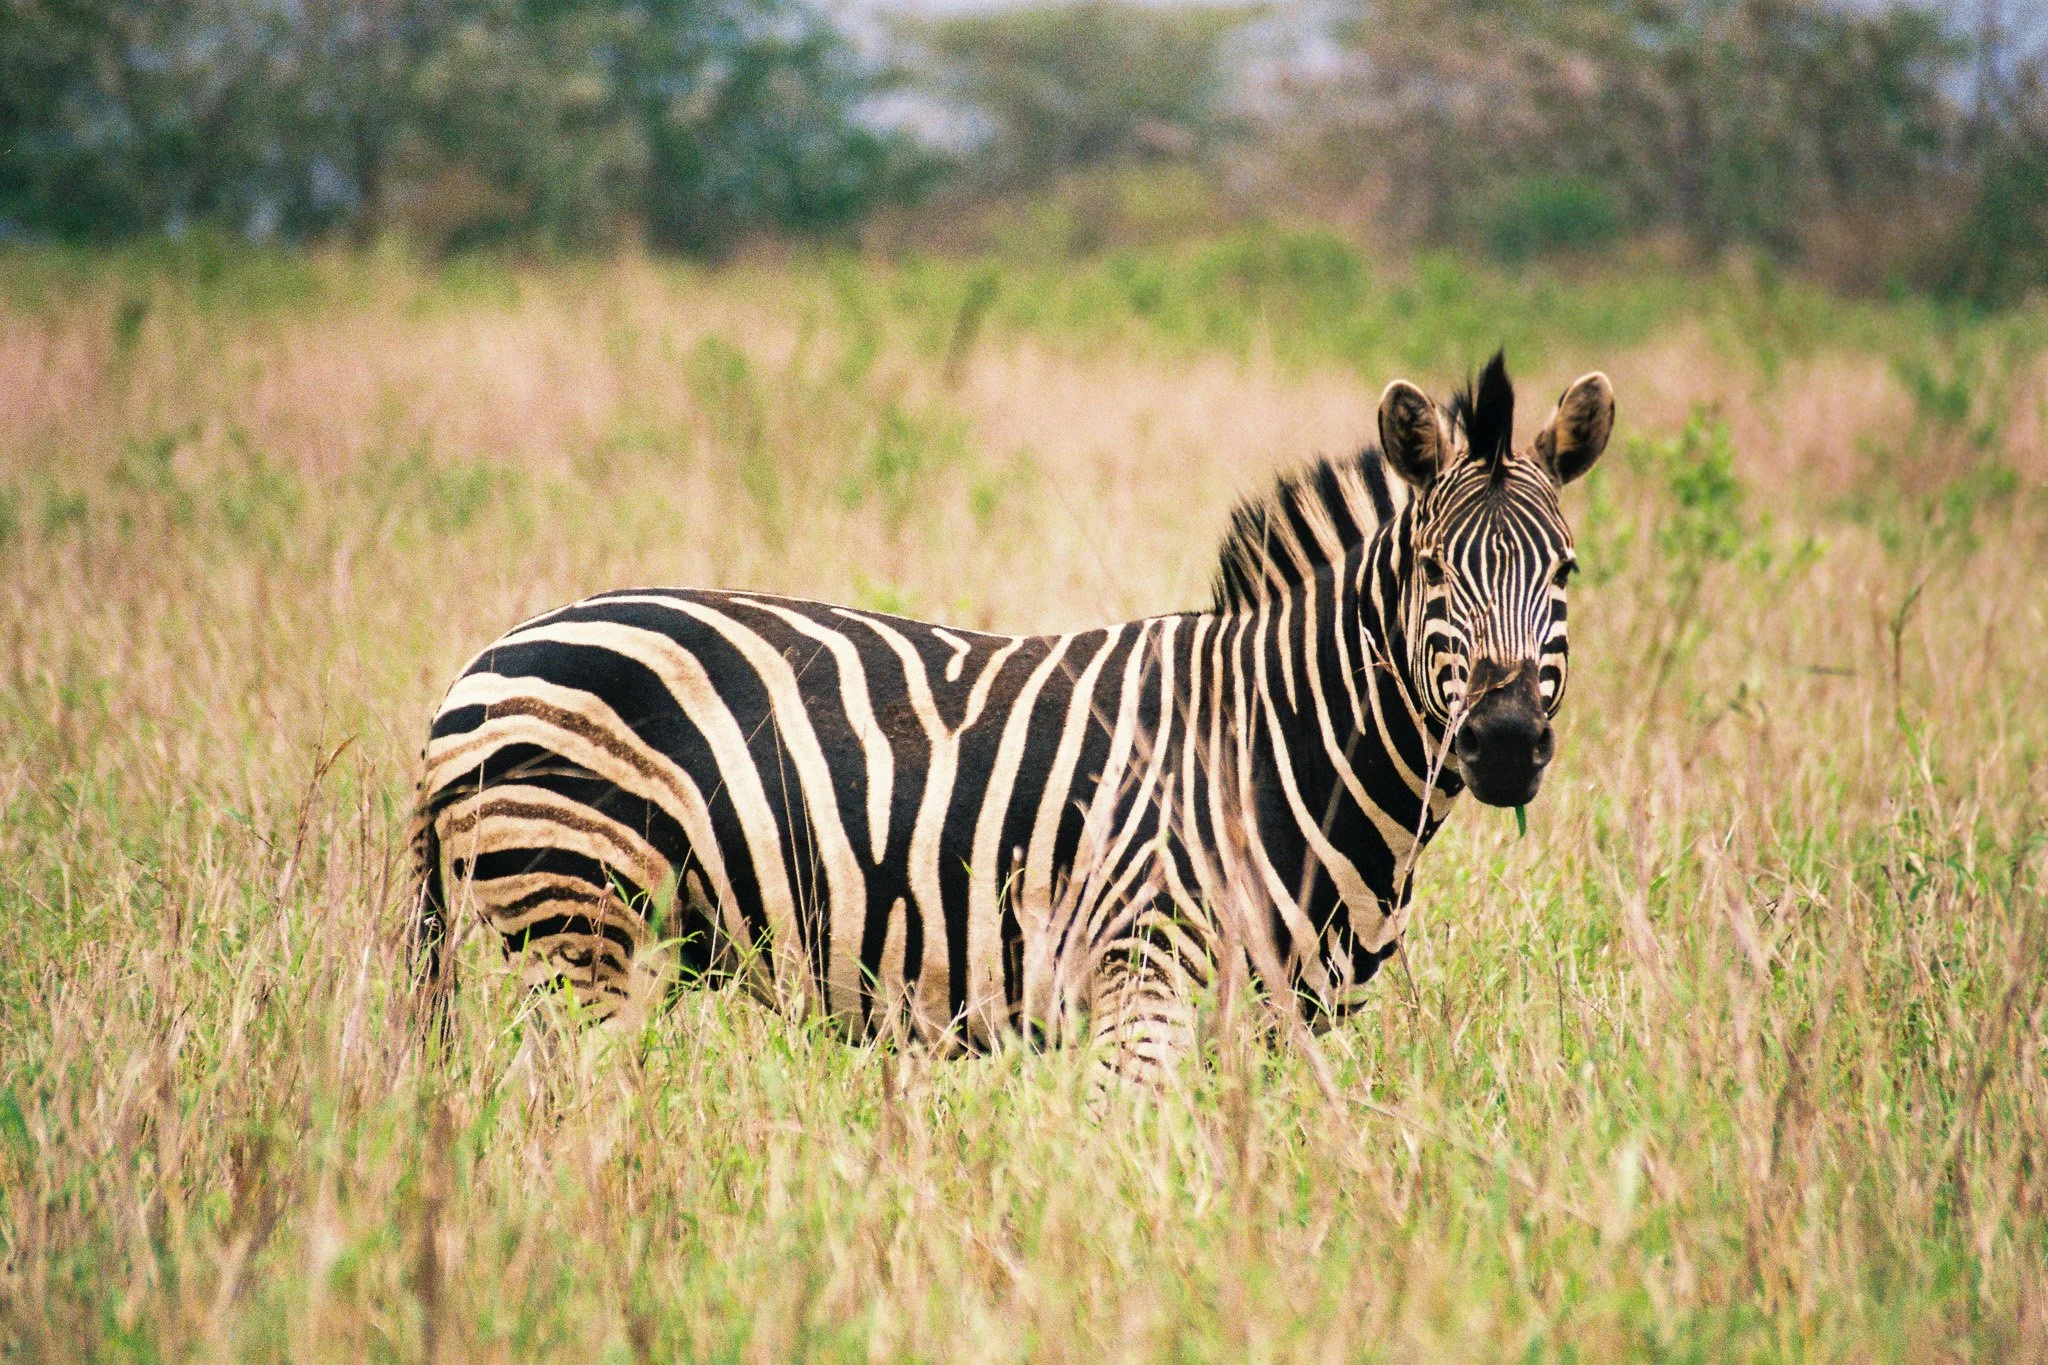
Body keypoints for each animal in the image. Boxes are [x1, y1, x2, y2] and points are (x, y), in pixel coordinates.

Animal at [407, 352, 1615, 1081]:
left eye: (1564, 570)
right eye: (1429, 573)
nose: (1506, 743)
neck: (1279, 744)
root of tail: (477, 667)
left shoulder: (1279, 1021)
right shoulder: (1141, 978)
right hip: (580, 926)